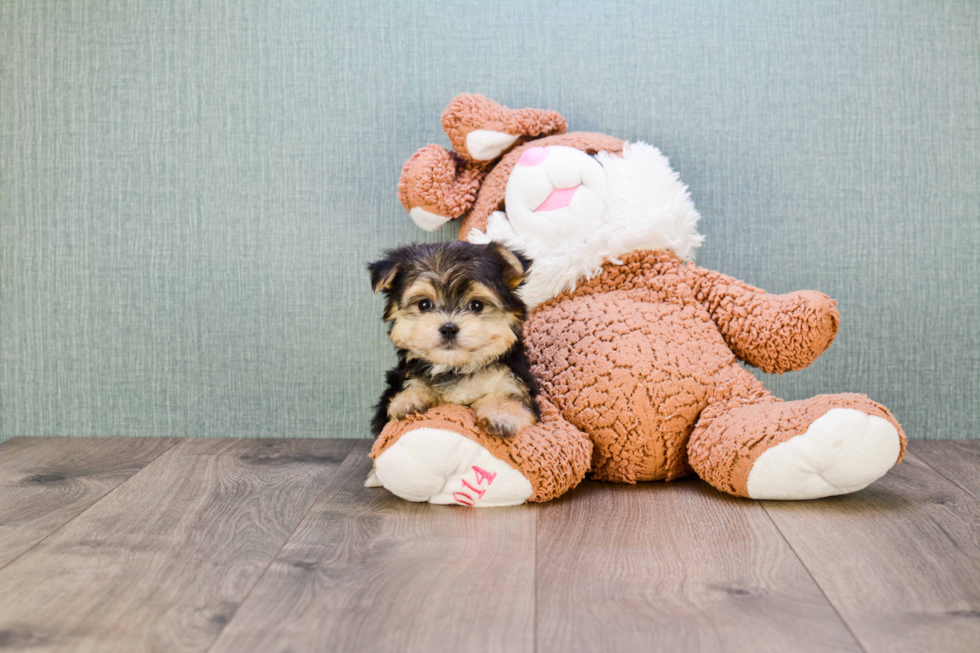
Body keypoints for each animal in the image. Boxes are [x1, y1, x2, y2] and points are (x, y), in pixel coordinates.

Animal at [368, 241, 540, 438]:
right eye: (424, 304)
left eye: (476, 305)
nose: (449, 328)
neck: (454, 367)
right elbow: (412, 387)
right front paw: (407, 399)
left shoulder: (513, 380)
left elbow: (512, 397)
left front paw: (501, 414)